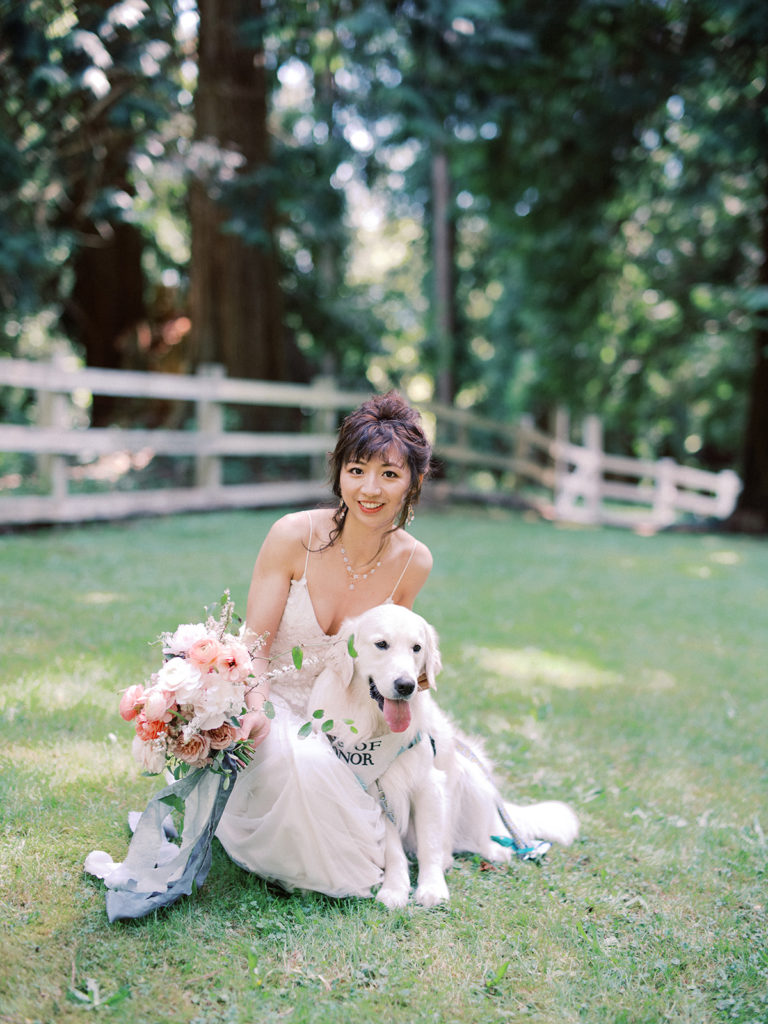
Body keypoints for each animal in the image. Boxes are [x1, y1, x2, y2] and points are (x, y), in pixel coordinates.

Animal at [308, 603, 579, 908]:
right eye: (381, 644)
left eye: (417, 647)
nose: (406, 685)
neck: (376, 727)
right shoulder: (376, 793)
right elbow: (393, 851)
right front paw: (395, 889)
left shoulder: (428, 786)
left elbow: (430, 845)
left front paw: (432, 888)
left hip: (473, 777)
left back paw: (495, 850)